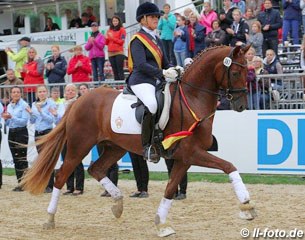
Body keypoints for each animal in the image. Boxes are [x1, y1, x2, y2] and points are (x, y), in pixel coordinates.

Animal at [21, 44, 254, 236]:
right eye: (235, 72)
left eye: (247, 71)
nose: (242, 105)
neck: (192, 98)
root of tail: (78, 100)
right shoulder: (191, 153)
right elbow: (229, 166)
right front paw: (247, 205)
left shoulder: (183, 157)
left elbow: (171, 188)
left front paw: (161, 224)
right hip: (80, 146)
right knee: (61, 175)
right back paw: (50, 219)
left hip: (115, 147)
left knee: (96, 169)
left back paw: (117, 203)